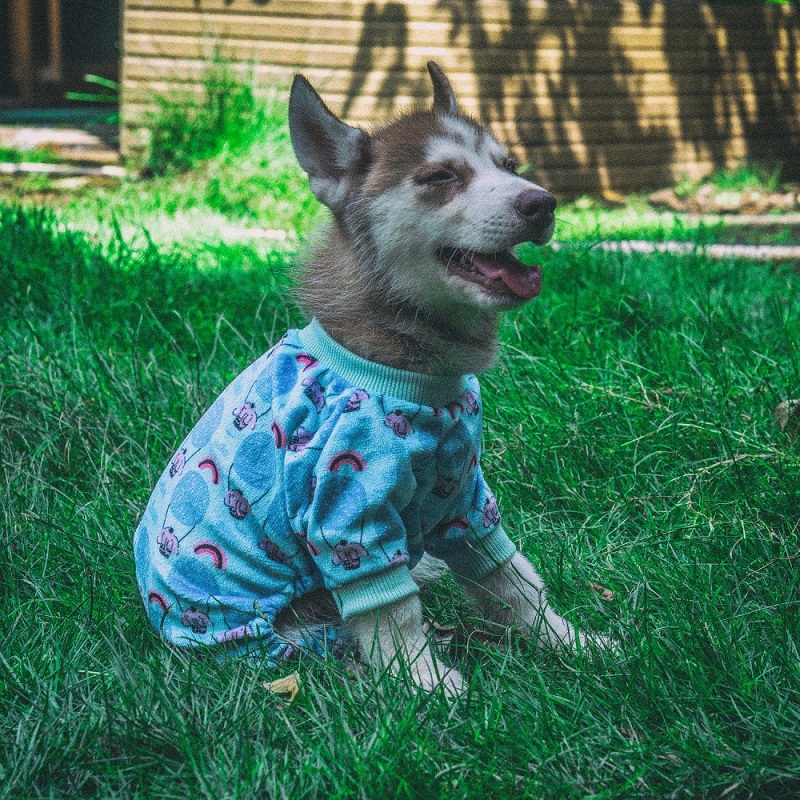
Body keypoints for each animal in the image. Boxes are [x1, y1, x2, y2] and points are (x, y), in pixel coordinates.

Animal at [134, 62, 592, 696]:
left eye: (510, 165)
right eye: (441, 176)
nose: (543, 203)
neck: (414, 377)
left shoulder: (463, 498)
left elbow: (512, 580)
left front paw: (576, 645)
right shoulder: (348, 515)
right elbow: (392, 612)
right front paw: (429, 685)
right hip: (292, 631)